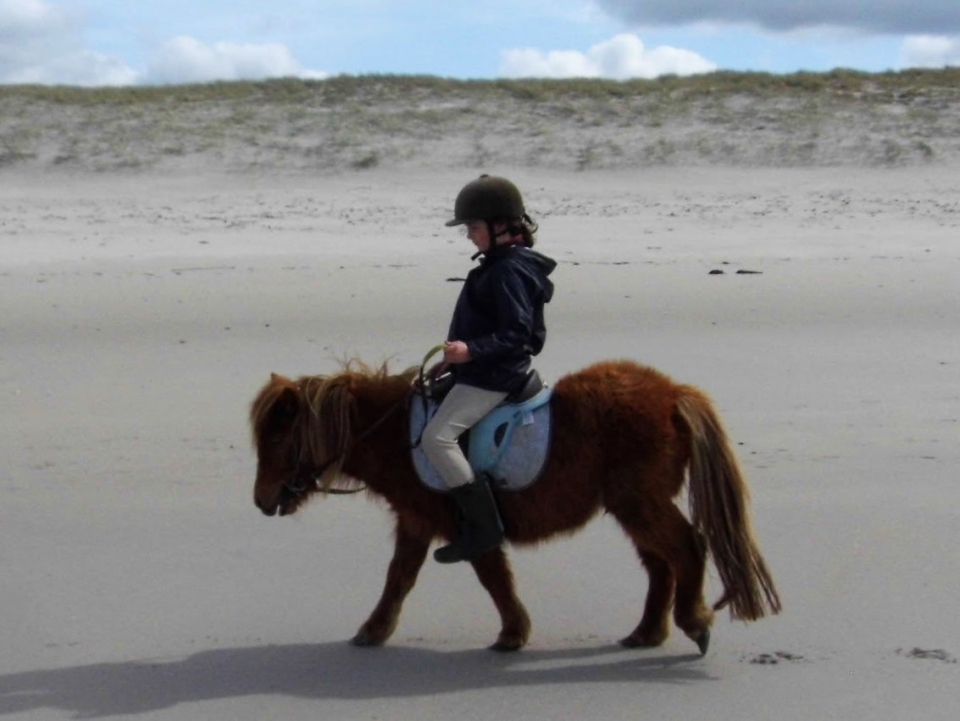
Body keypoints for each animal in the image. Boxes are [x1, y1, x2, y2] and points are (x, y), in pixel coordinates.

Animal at [250, 358, 781, 654]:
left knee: (686, 549)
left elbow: (493, 578)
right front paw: (373, 631)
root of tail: (673, 394)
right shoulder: (417, 523)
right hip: (634, 506)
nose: (260, 501)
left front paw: (513, 634)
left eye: (277, 436)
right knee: (660, 564)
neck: (396, 434)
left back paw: (694, 622)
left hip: (640, 502)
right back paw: (646, 633)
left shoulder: (468, 526)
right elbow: (398, 579)